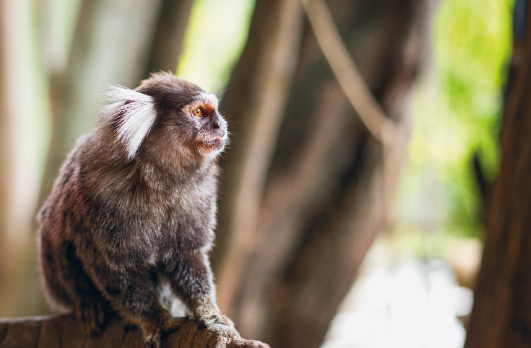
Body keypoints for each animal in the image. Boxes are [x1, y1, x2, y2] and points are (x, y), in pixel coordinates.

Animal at [38, 72, 234, 346]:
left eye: (214, 112)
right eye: (198, 112)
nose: (220, 125)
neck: (160, 180)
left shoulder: (201, 195)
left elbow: (186, 255)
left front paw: (208, 310)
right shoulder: (97, 195)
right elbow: (116, 269)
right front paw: (155, 319)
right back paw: (87, 302)